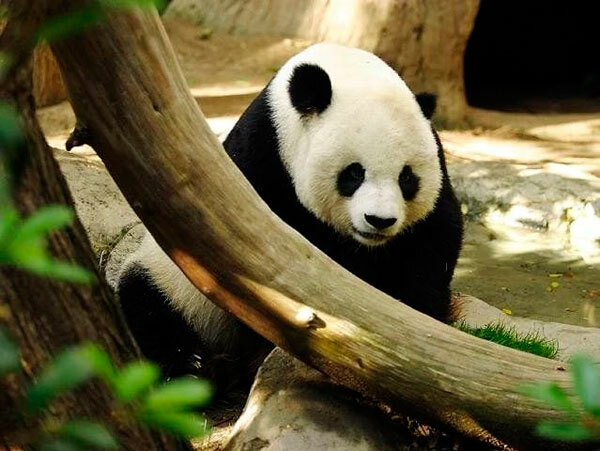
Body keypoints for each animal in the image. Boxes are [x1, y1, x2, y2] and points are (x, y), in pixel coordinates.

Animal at [117, 43, 463, 392]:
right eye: (354, 173)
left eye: (407, 178)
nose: (379, 220)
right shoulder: (262, 165)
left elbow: (433, 242)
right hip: (171, 282)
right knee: (148, 306)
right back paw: (195, 367)